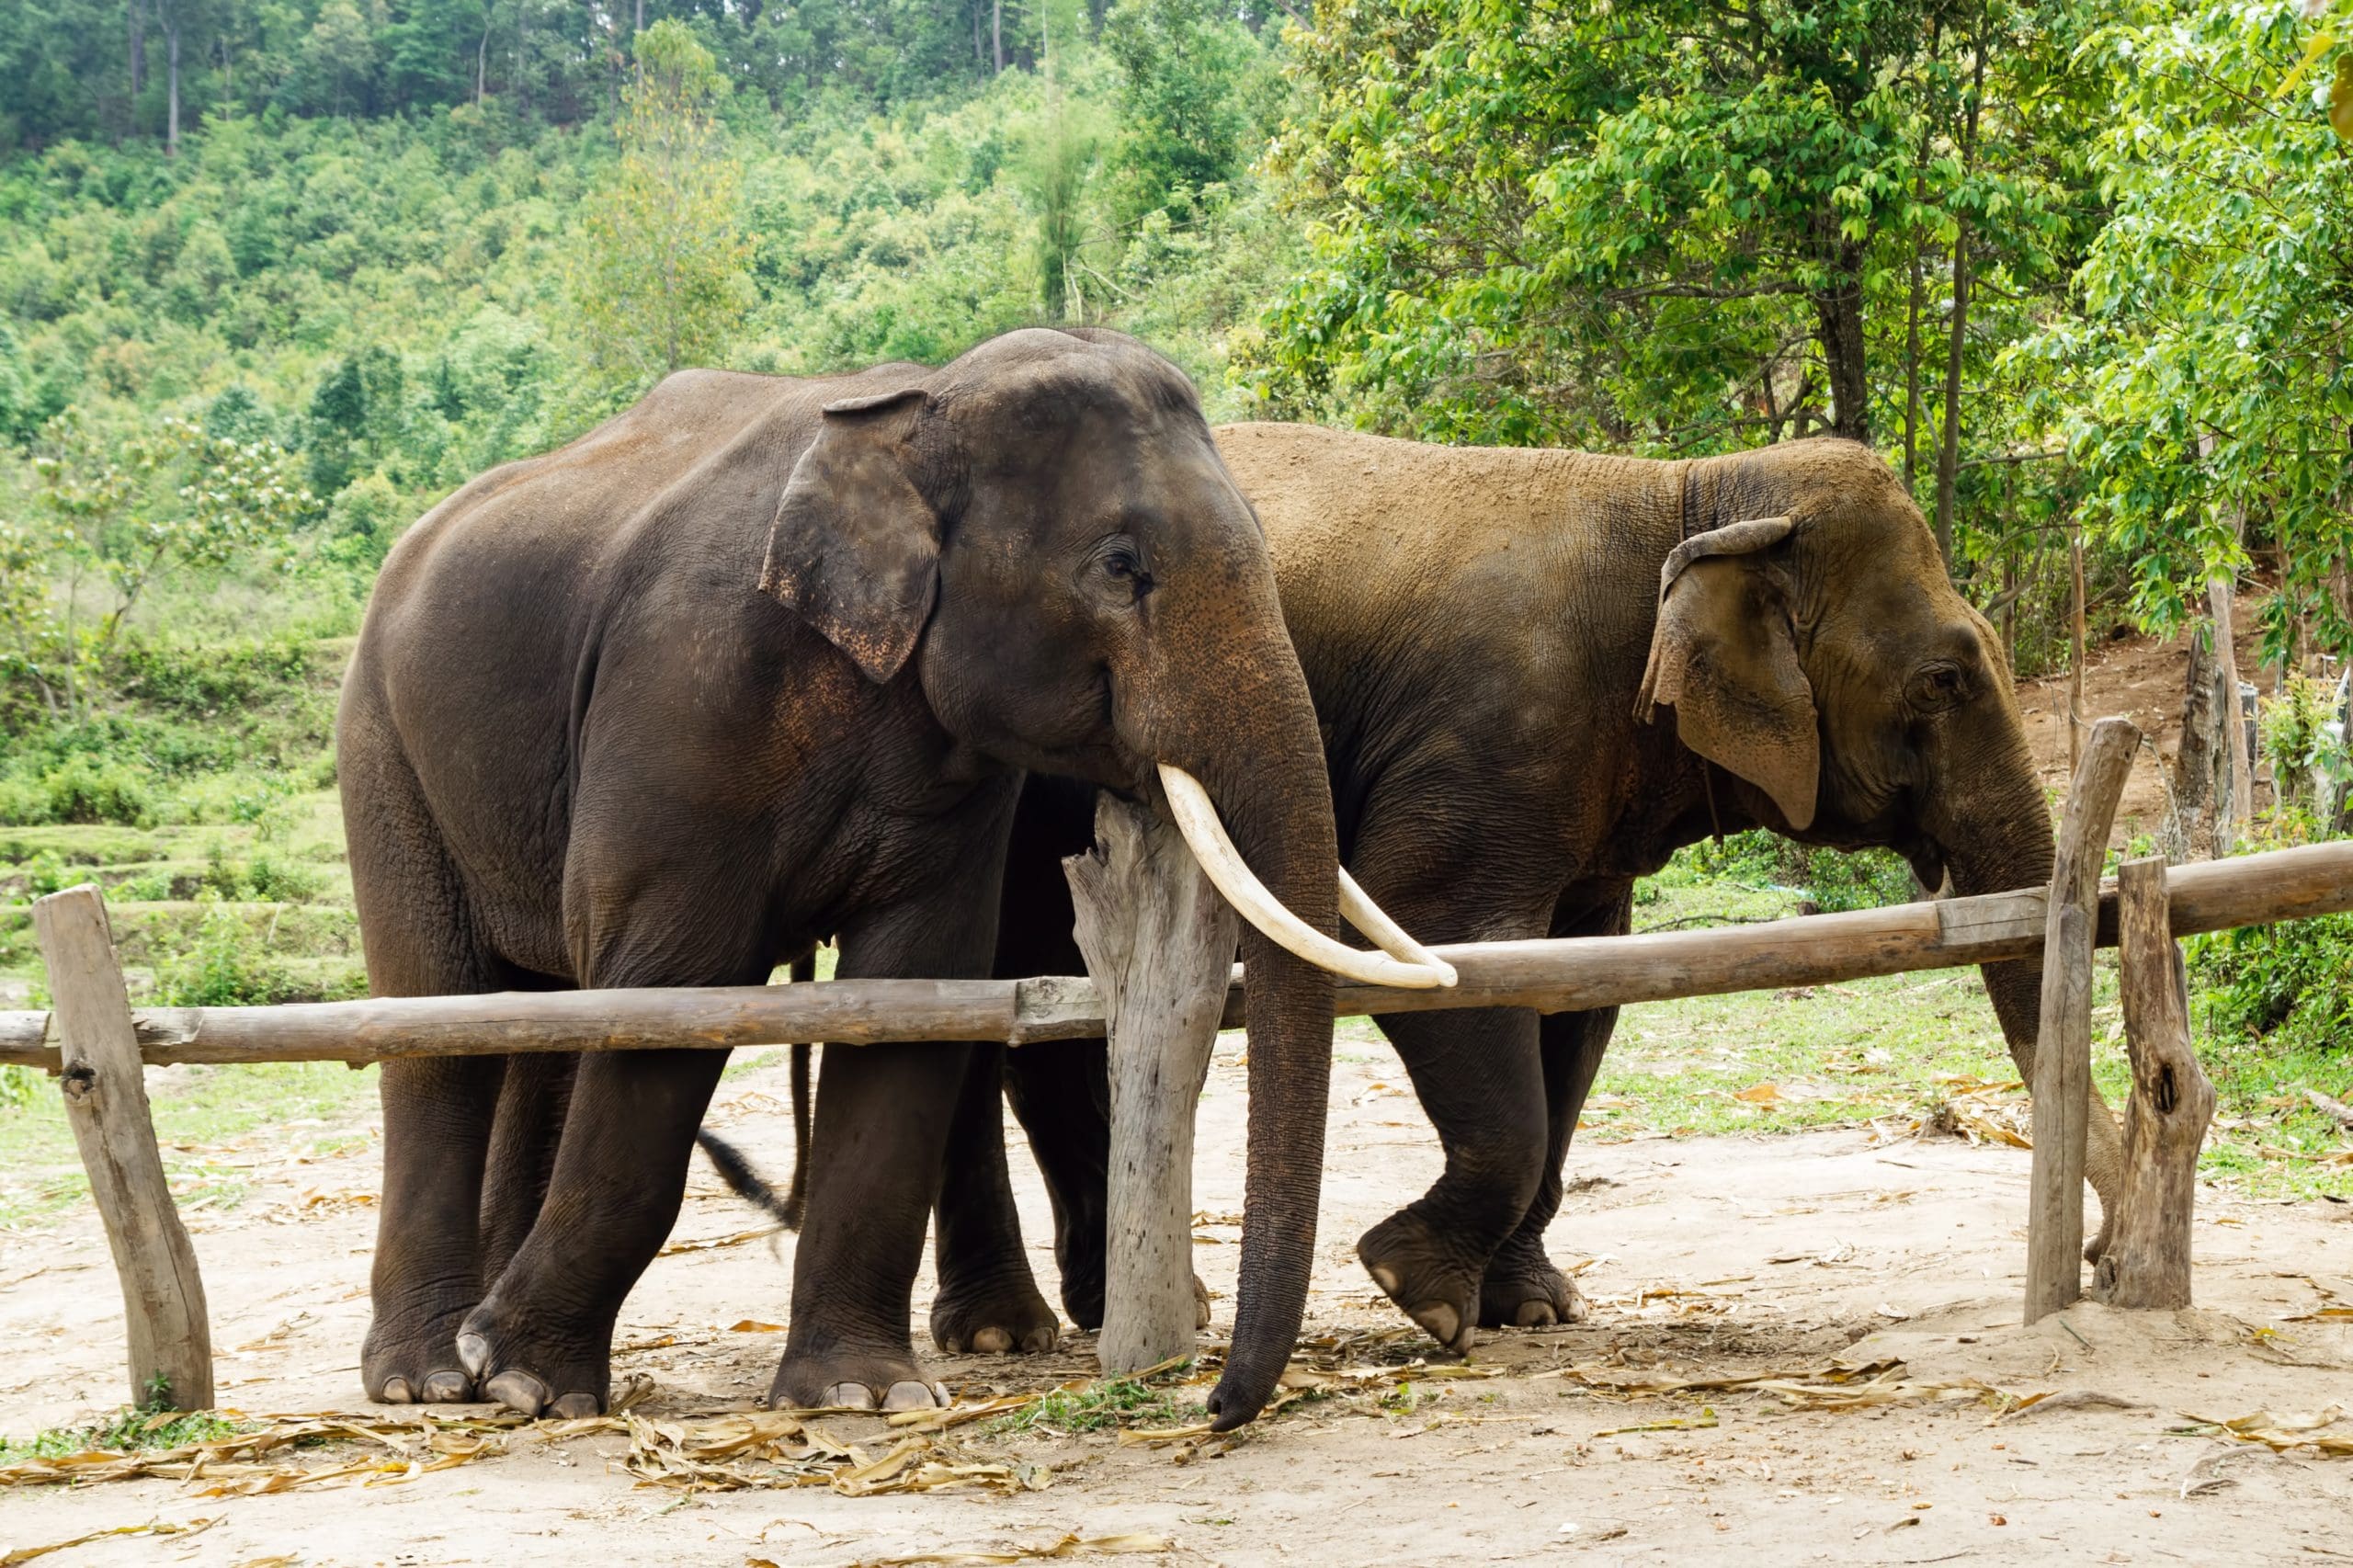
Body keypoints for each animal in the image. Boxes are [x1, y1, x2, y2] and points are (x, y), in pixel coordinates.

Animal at [334, 332, 1439, 1431]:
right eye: (1121, 567)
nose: (1210, 1402)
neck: (916, 405)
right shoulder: (678, 705)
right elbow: (666, 995)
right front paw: (527, 1380)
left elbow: (911, 996)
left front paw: (862, 1392)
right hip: (382, 750)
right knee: (438, 1025)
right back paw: (429, 1375)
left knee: (530, 1025)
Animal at [893, 421, 2118, 1346]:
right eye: (1944, 679)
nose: (2102, 1256)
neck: (1688, 492)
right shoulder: (1493, 732)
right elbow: (1442, 940)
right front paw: (1415, 1291)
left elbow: (1576, 995)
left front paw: (1528, 1306)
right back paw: (1014, 1331)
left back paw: (1116, 1312)